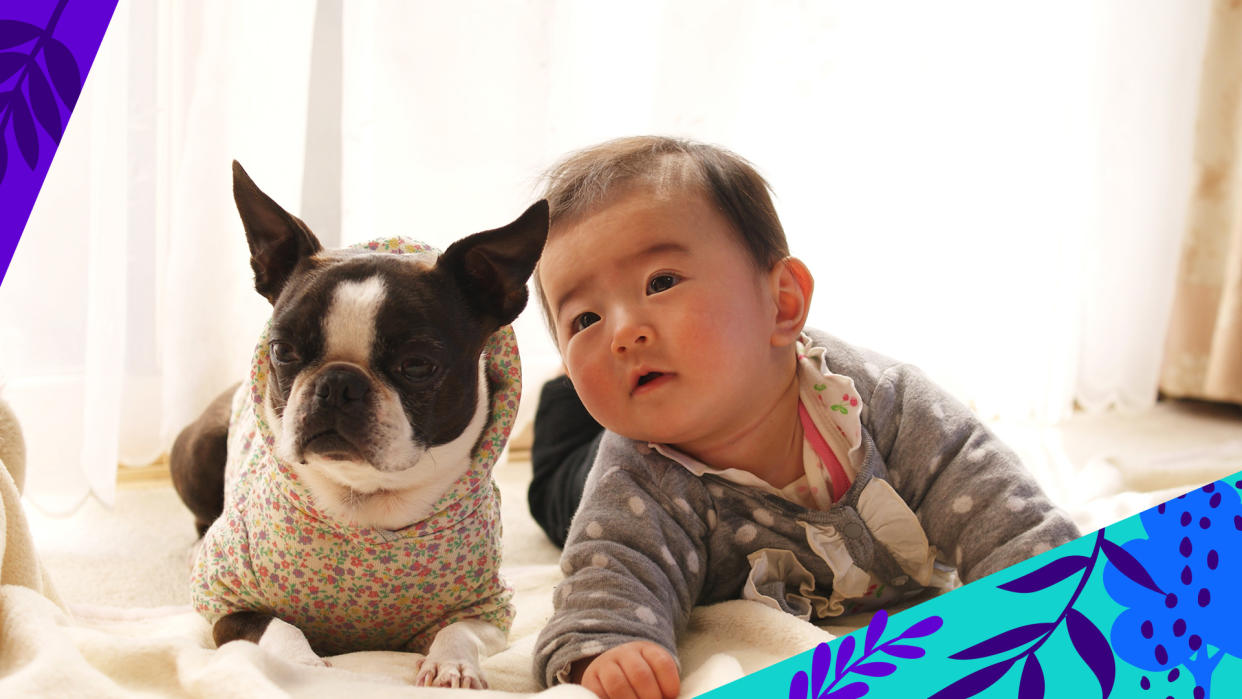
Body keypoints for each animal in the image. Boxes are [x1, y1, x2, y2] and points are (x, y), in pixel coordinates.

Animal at [171, 162, 548, 690]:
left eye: (417, 365)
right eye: (282, 350)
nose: (337, 383)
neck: (366, 500)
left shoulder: (489, 607)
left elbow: (458, 631)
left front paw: (452, 665)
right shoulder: (227, 604)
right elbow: (278, 627)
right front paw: (302, 665)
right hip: (197, 451)